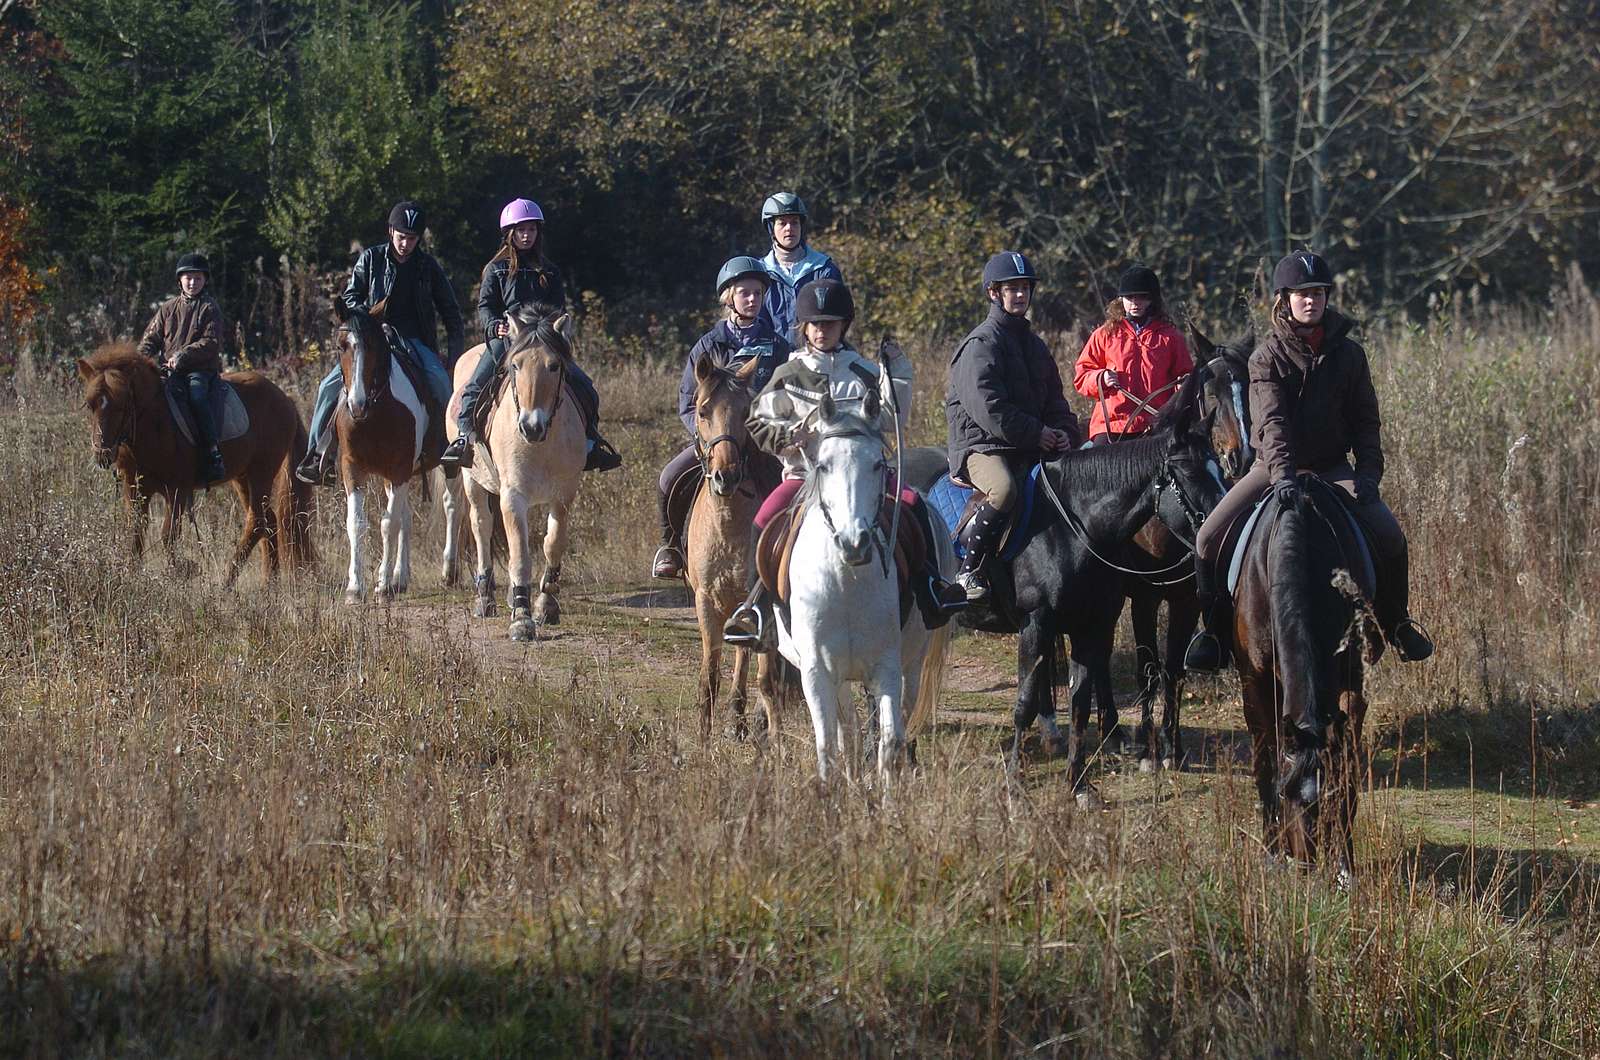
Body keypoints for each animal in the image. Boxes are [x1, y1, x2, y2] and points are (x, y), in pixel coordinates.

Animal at [76, 344, 315, 582]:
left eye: (121, 405)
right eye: (89, 405)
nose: (102, 454)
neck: (154, 422)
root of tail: (285, 399)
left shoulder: (177, 490)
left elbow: (168, 536)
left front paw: (181, 571)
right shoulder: (134, 488)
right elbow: (136, 532)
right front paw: (132, 576)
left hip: (261, 472)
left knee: (257, 522)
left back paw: (227, 581)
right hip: (242, 477)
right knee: (268, 521)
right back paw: (268, 583)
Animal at [332, 307, 464, 605]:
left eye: (373, 345)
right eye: (342, 346)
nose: (356, 404)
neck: (375, 413)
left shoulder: (399, 468)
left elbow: (388, 524)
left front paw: (381, 586)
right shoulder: (353, 468)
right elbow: (357, 524)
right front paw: (356, 588)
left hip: (446, 466)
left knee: (451, 505)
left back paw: (448, 572)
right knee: (405, 516)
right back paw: (400, 579)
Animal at [444, 307, 588, 640]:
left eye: (554, 365)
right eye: (515, 365)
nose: (531, 426)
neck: (543, 442)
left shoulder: (563, 495)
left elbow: (552, 544)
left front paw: (546, 605)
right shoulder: (513, 495)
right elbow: (520, 555)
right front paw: (522, 620)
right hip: (472, 481)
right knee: (481, 527)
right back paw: (485, 599)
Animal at [681, 352, 787, 742]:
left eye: (745, 411)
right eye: (702, 410)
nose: (726, 476)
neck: (727, 525)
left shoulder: (763, 603)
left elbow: (768, 680)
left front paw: (776, 739)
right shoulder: (705, 602)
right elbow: (709, 677)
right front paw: (702, 739)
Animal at [777, 393, 953, 784]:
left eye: (877, 465)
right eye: (823, 465)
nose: (853, 543)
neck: (845, 582)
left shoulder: (886, 667)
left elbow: (889, 741)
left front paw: (887, 794)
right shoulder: (816, 671)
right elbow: (829, 742)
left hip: (911, 663)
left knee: (899, 721)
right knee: (849, 729)